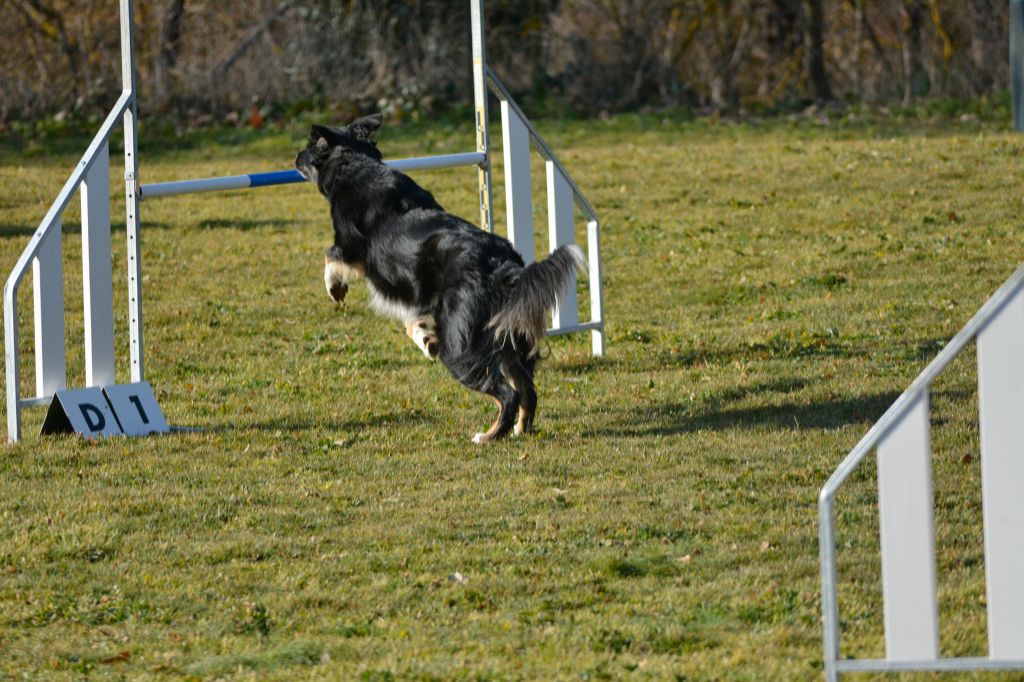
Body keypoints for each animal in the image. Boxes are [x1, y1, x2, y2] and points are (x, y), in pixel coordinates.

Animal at [296, 114, 585, 444]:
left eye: (308, 146)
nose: (295, 157)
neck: (356, 164)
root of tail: (502, 267)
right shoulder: (415, 294)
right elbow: (412, 321)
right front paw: (425, 339)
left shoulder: (352, 248)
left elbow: (331, 255)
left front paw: (335, 287)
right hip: (506, 339)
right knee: (528, 389)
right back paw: (519, 430)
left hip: (461, 348)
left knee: (508, 394)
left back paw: (489, 436)